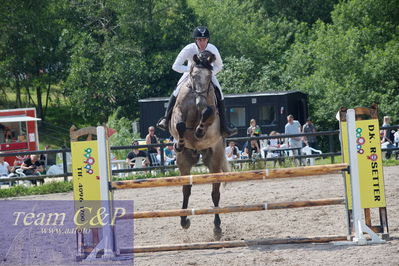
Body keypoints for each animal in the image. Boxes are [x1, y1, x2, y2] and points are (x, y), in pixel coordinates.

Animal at [170, 50, 231, 237]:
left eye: (209, 76)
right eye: (194, 75)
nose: (200, 102)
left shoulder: (211, 113)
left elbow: (208, 112)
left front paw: (199, 130)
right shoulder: (177, 112)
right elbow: (180, 124)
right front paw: (180, 141)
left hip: (214, 159)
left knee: (215, 193)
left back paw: (217, 227)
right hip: (183, 161)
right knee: (186, 189)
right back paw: (184, 220)